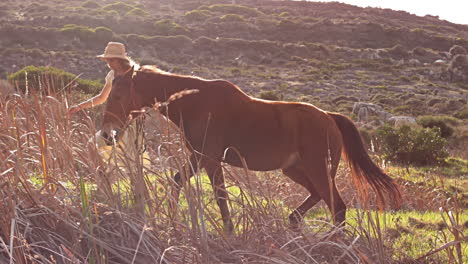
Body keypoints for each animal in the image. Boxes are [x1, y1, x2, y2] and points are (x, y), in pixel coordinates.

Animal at [102, 66, 402, 233]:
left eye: (117, 95)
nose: (107, 134)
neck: (195, 102)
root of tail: (329, 117)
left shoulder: (210, 159)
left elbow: (221, 196)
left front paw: (229, 232)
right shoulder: (199, 158)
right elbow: (178, 181)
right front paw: (171, 220)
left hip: (317, 169)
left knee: (337, 207)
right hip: (296, 170)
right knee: (319, 198)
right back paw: (293, 222)